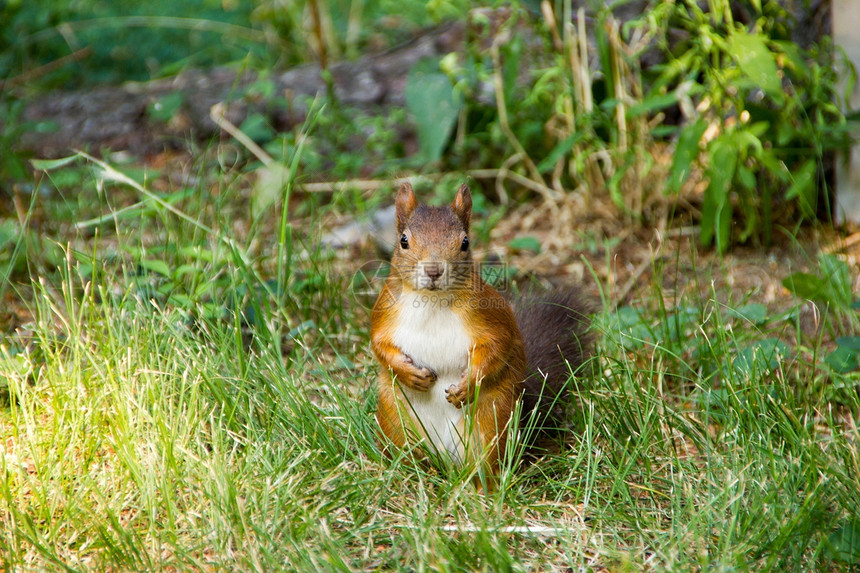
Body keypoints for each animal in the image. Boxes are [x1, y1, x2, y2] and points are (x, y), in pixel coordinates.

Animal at [372, 181, 596, 484]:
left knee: (484, 464)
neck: (432, 301)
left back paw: (475, 487)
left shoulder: (489, 317)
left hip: (490, 422)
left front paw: (467, 387)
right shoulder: (385, 313)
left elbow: (496, 348)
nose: (433, 270)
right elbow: (379, 345)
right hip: (395, 419)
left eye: (465, 242)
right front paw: (410, 374)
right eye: (403, 240)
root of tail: (444, 462)